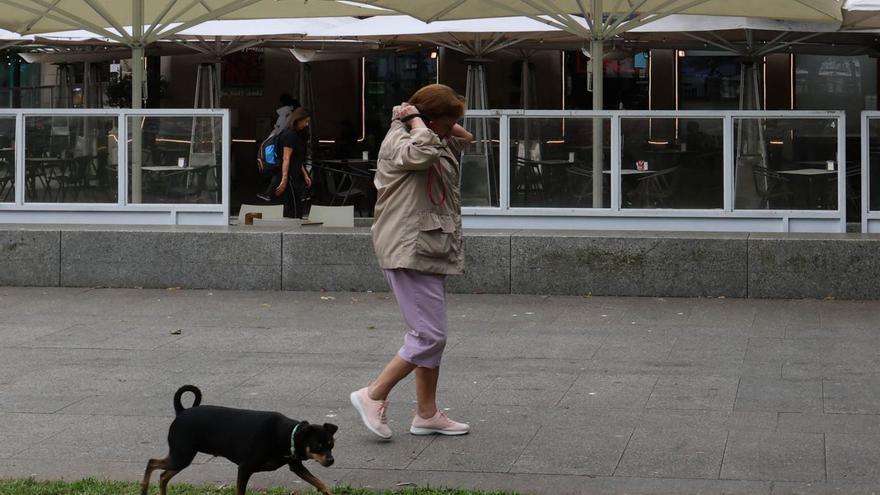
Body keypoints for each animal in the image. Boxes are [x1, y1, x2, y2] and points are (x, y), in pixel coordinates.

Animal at [143, 388, 338, 495]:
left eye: (331, 445)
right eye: (319, 446)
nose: (331, 460)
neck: (287, 435)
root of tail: (181, 411)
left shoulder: (296, 466)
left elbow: (320, 483)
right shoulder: (244, 468)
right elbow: (240, 491)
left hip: (182, 457)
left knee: (163, 476)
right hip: (182, 455)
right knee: (152, 463)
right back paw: (144, 488)